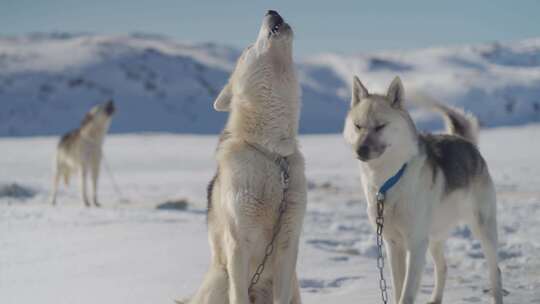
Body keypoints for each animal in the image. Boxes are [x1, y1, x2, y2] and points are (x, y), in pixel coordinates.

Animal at [185, 10, 304, 304]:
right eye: (248, 49)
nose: (271, 10)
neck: (273, 152)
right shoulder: (238, 243)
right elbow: (238, 295)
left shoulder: (288, 244)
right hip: (220, 280)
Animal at [344, 76, 504, 304]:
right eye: (358, 126)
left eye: (380, 126)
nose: (360, 151)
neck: (388, 181)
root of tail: (465, 142)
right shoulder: (393, 244)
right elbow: (397, 289)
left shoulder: (416, 244)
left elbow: (406, 294)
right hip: (434, 237)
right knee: (443, 267)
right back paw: (436, 299)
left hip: (483, 229)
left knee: (495, 272)